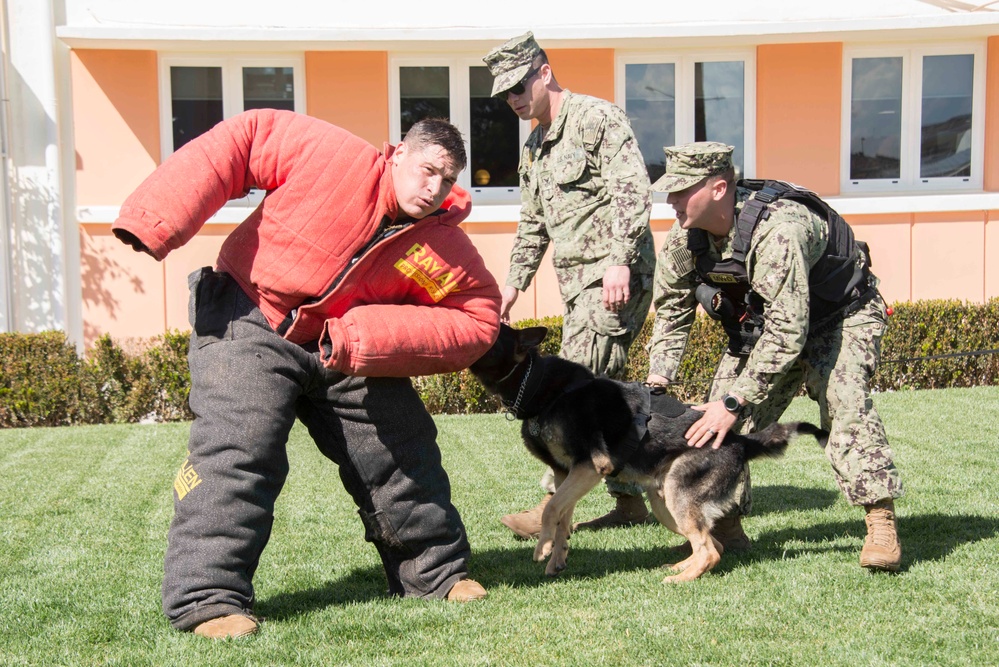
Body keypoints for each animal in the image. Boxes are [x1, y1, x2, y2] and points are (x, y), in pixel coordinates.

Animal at [470, 326, 828, 580]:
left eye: (492, 332)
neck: (539, 386)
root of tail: (739, 440)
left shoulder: (590, 467)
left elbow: (551, 510)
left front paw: (542, 548)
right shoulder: (565, 473)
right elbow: (561, 516)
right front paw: (557, 557)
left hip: (678, 496)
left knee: (710, 551)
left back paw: (680, 579)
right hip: (664, 502)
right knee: (712, 544)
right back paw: (681, 568)